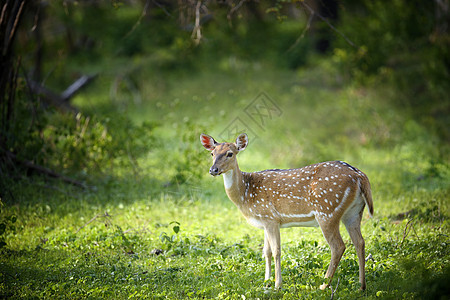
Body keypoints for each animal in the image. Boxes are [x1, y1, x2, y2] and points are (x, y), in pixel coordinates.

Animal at [200, 132, 372, 290]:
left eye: (230, 153)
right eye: (212, 153)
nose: (213, 169)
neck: (246, 193)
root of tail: (360, 176)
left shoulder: (270, 217)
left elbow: (276, 251)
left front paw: (277, 285)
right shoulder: (265, 221)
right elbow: (266, 251)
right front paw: (266, 283)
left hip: (327, 211)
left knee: (338, 246)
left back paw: (323, 286)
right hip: (353, 212)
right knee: (360, 242)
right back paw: (361, 286)